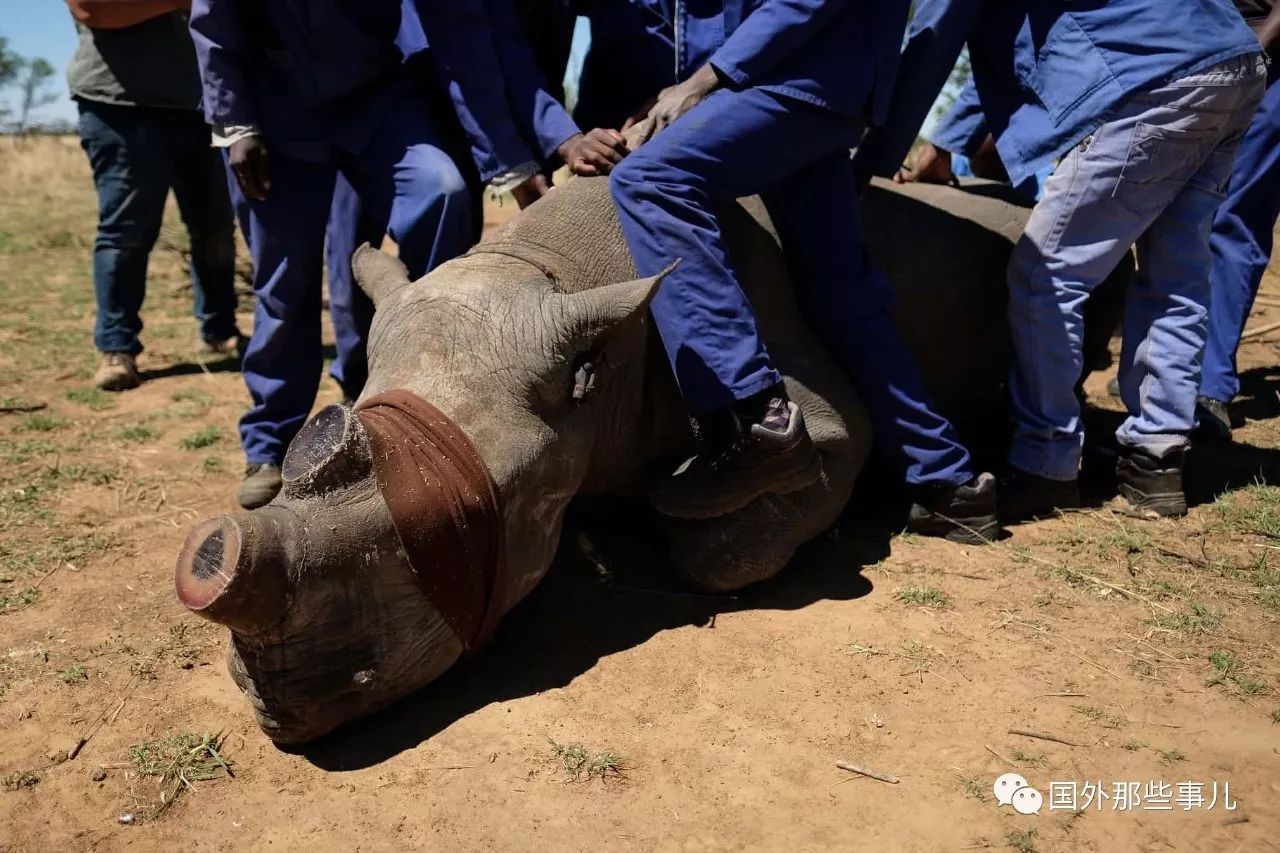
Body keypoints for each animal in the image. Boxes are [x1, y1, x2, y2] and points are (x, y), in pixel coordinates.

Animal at [172, 171, 1131, 737]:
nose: (268, 709)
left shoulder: (809, 403)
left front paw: (678, 505)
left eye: (463, 515)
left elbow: (721, 545)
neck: (559, 276)